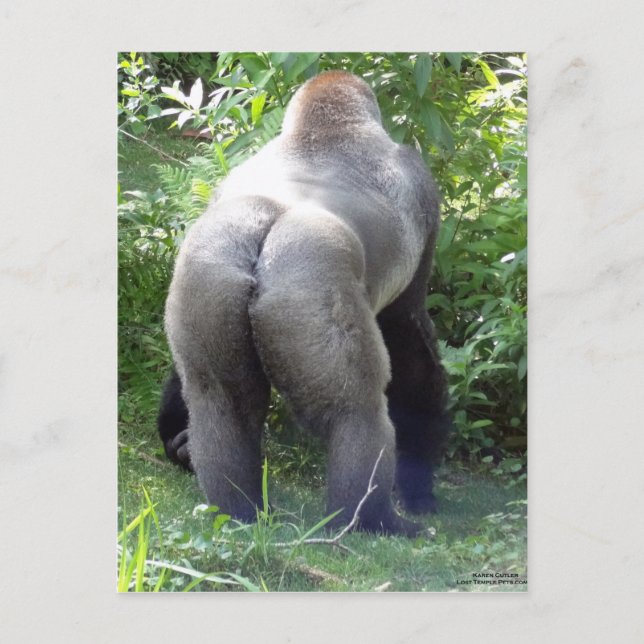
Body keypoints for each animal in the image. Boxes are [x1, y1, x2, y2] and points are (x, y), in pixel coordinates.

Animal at [163, 70, 451, 535]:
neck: (321, 131)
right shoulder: (422, 186)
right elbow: (409, 336)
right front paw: (419, 489)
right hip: (306, 285)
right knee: (356, 410)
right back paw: (372, 520)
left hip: (210, 272)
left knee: (220, 401)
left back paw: (238, 511)